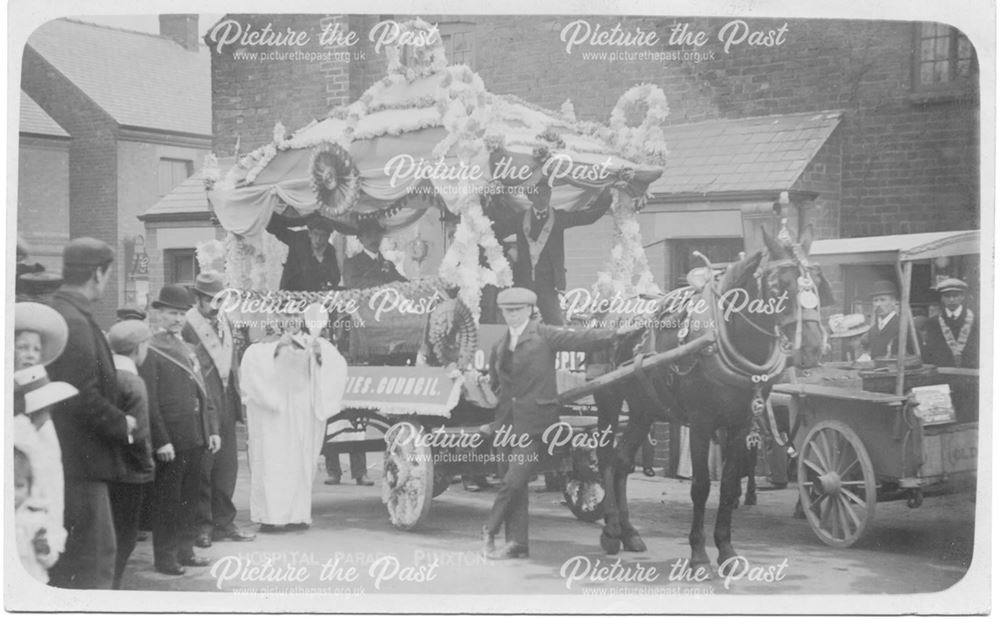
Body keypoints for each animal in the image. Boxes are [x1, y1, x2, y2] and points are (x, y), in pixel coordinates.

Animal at [588, 228, 832, 572]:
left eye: (818, 282)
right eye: (777, 286)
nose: (811, 347)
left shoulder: (741, 422)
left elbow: (728, 485)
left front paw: (727, 550)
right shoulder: (702, 422)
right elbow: (701, 485)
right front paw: (699, 553)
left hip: (643, 409)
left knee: (622, 462)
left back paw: (630, 533)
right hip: (608, 399)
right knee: (607, 458)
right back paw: (610, 531)